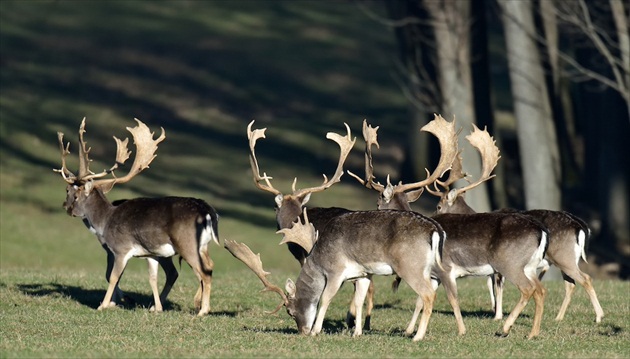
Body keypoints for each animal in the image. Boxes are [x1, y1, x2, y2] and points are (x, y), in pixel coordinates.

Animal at [55, 117, 222, 316]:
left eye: (70, 191)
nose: (66, 207)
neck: (105, 221)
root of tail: (208, 211)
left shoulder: (120, 249)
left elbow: (113, 276)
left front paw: (104, 305)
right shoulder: (151, 254)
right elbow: (152, 277)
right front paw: (156, 307)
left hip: (187, 243)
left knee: (204, 272)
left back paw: (202, 311)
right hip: (203, 246)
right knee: (208, 267)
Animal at [225, 205, 446, 344]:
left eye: (290, 311)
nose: (302, 331)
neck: (319, 257)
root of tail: (435, 230)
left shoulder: (336, 271)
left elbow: (325, 298)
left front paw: (316, 331)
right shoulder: (363, 274)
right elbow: (358, 301)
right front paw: (357, 333)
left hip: (410, 266)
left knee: (428, 294)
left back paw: (417, 336)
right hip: (430, 269)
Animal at [350, 116, 552, 340]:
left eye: (378, 203)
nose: (374, 213)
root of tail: (542, 231)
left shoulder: (446, 268)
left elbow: (450, 298)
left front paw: (460, 330)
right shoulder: (432, 274)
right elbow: (421, 301)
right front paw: (410, 329)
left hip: (510, 263)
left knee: (527, 289)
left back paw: (506, 327)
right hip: (530, 266)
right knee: (541, 290)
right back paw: (533, 333)